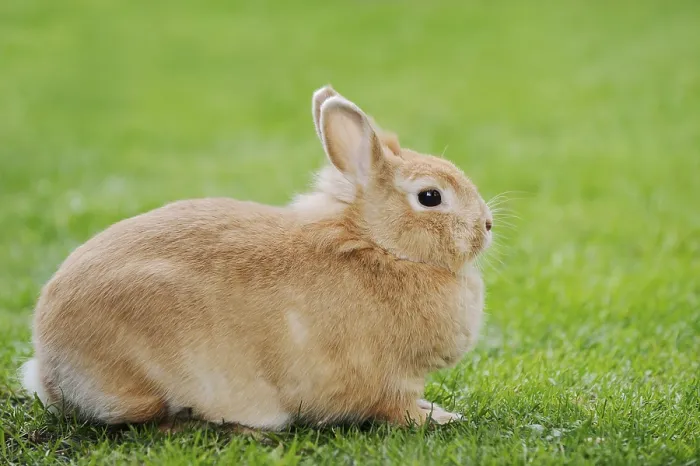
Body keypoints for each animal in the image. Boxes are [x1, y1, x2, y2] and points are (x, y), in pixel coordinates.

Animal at [20, 85, 493, 430]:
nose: (487, 225)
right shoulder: (388, 383)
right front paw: (443, 418)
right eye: (430, 197)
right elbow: (400, 410)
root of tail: (49, 364)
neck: (379, 246)